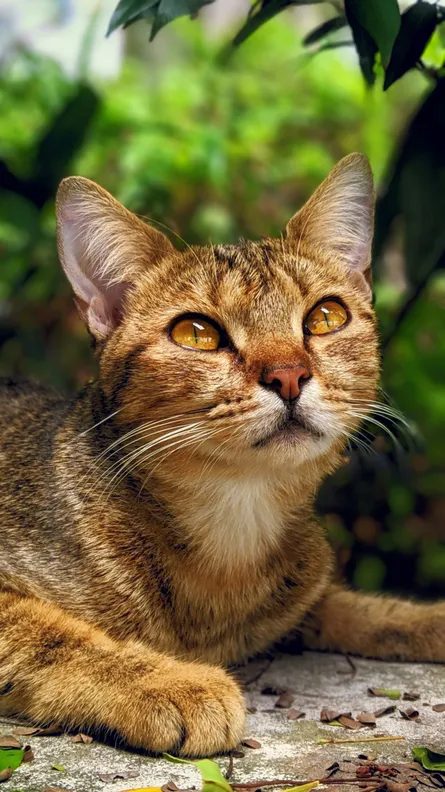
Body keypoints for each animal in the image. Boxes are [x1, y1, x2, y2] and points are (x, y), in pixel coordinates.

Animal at [0, 153, 442, 756]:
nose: (288, 374)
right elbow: (46, 633)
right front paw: (167, 681)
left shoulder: (306, 597)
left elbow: (372, 611)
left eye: (326, 316)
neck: (233, 528)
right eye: (197, 333)